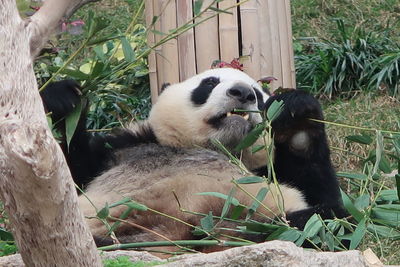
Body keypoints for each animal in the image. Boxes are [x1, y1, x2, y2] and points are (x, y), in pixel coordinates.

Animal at [40, 68, 346, 254]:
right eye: (209, 82)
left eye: (258, 96)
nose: (242, 93)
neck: (222, 146)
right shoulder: (124, 149)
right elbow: (67, 176)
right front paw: (64, 101)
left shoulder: (267, 171)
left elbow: (323, 197)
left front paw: (297, 116)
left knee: (318, 223)